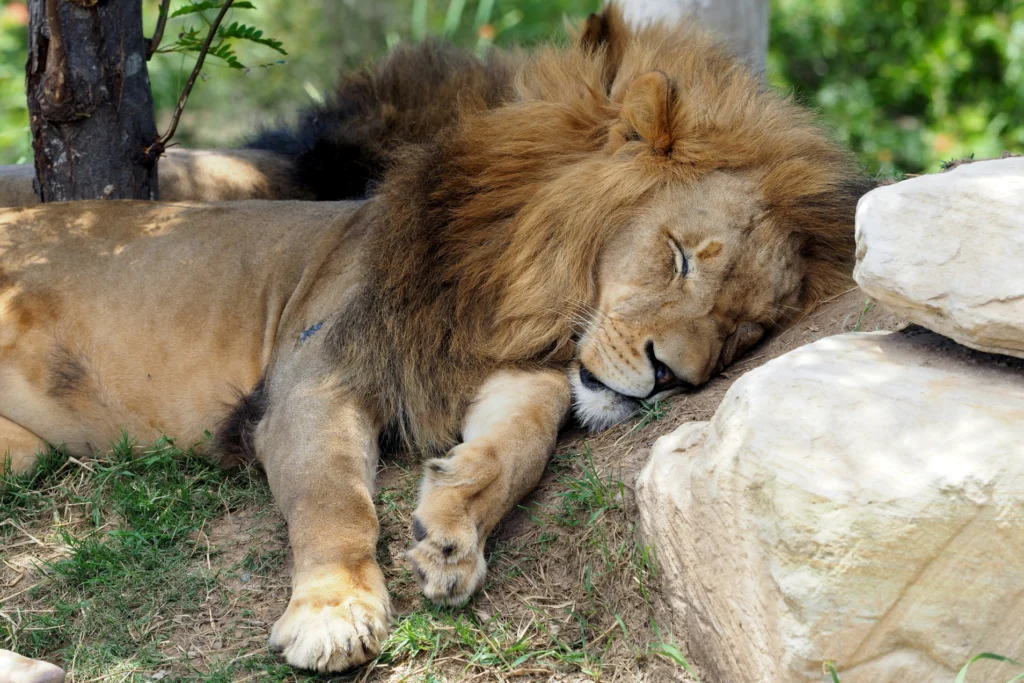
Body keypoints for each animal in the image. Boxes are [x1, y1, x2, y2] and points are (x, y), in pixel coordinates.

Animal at [0, 7, 872, 672]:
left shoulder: (517, 374)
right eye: (681, 255)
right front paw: (334, 610)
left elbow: (518, 446)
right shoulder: (316, 381)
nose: (669, 377)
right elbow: (335, 500)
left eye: (744, 331)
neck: (514, 300)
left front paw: (452, 531)